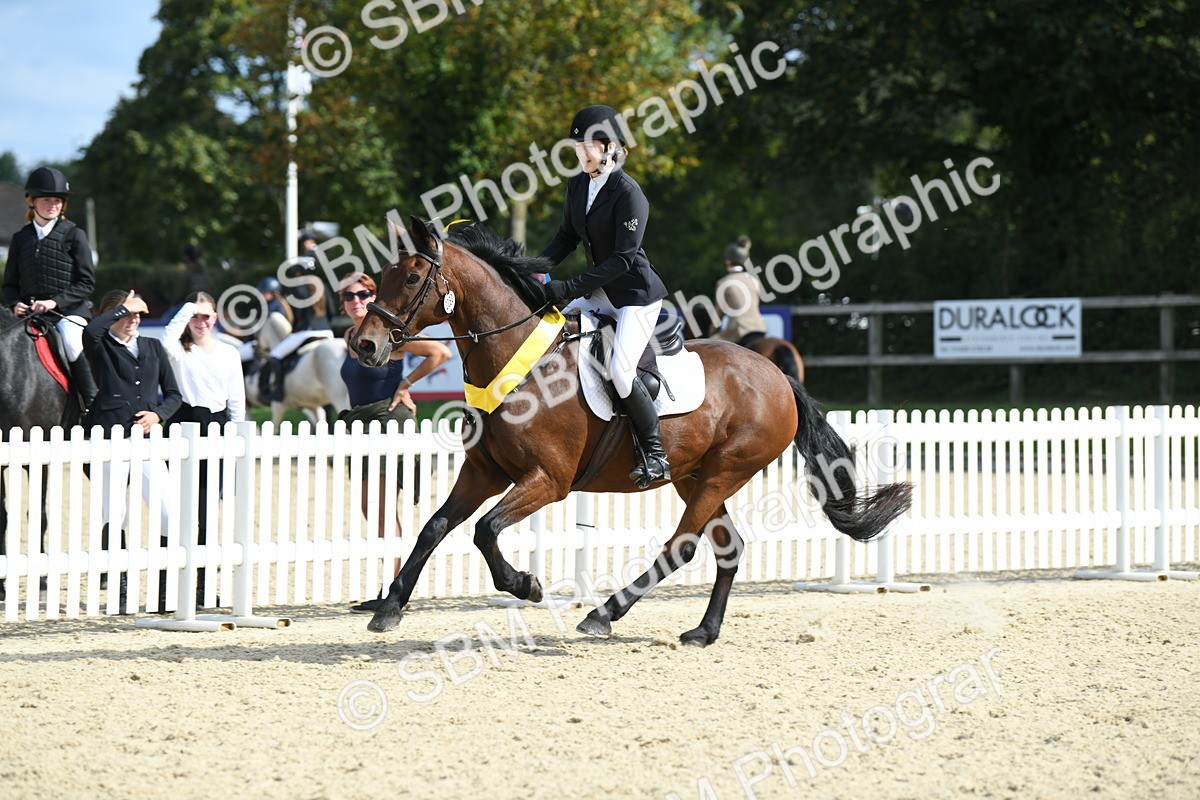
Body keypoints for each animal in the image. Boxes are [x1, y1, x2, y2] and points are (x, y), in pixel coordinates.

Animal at [350, 218, 911, 646]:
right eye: (381, 276)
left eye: (413, 278)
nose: (364, 346)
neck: (516, 362)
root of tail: (777, 376)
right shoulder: (484, 472)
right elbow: (434, 527)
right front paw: (389, 608)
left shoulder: (547, 480)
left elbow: (485, 530)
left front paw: (525, 585)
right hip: (694, 475)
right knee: (727, 549)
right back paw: (703, 632)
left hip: (724, 472)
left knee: (682, 546)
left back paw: (603, 615)